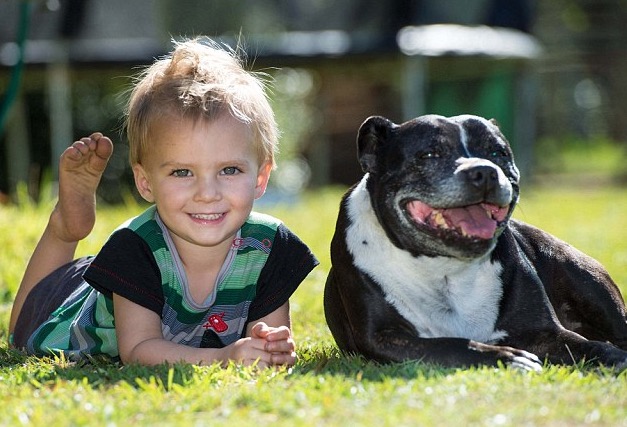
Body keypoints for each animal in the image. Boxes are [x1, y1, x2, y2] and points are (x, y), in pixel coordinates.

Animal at [324, 114, 627, 372]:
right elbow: (450, 345)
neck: (445, 267)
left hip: (585, 279)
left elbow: (591, 346)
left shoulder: (547, 333)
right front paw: (508, 357)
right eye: (429, 154)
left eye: (498, 153)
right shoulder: (384, 337)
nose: (485, 172)